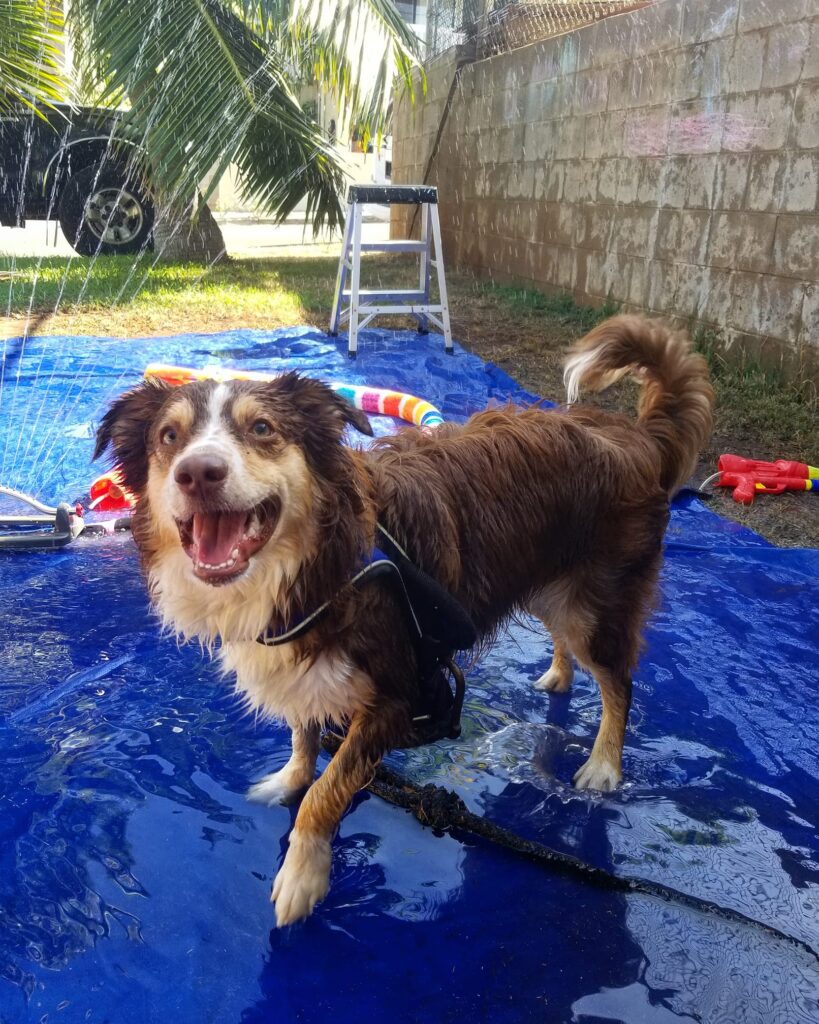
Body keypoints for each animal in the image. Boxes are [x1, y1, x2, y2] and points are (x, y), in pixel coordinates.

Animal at [94, 315, 708, 925]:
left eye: (263, 428)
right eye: (168, 437)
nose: (198, 473)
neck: (317, 566)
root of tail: (636, 438)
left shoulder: (398, 692)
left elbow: (328, 789)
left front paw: (302, 874)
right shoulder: (305, 669)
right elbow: (302, 734)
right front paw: (289, 779)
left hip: (594, 606)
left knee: (619, 683)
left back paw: (603, 766)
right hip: (550, 586)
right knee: (567, 642)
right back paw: (558, 675)